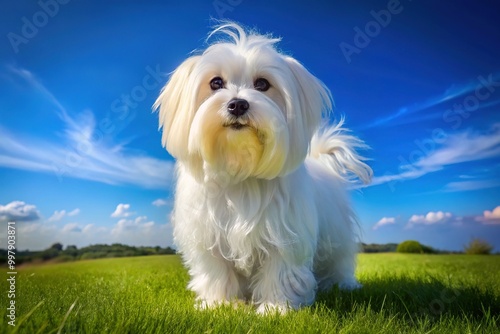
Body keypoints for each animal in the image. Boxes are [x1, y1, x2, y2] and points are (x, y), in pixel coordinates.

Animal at [154, 22, 374, 314]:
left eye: (262, 84)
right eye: (215, 83)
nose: (237, 104)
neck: (240, 169)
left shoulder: (284, 235)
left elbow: (279, 270)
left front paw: (275, 309)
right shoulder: (209, 236)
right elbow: (217, 271)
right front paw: (219, 304)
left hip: (336, 236)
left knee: (338, 261)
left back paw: (343, 285)